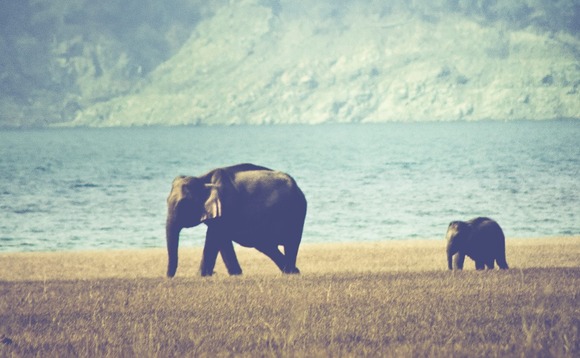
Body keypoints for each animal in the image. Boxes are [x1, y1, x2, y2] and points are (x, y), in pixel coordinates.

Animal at [164, 164, 306, 278]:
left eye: (183, 204)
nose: (169, 277)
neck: (202, 179)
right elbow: (222, 239)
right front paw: (235, 274)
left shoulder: (225, 207)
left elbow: (214, 238)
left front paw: (200, 276)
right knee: (266, 246)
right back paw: (292, 271)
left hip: (295, 213)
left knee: (290, 243)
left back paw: (291, 272)